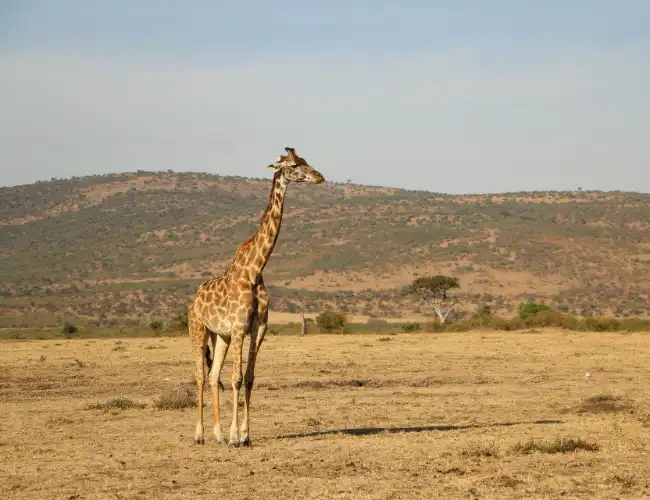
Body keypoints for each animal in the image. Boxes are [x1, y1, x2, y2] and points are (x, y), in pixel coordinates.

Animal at [187, 147, 325, 446]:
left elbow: (249, 377)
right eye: (294, 165)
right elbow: (237, 378)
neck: (255, 269)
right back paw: (199, 434)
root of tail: (192, 300)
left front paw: (245, 435)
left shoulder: (257, 327)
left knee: (213, 375)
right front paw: (235, 436)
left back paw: (216, 434)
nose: (320, 177)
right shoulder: (239, 327)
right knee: (200, 376)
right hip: (198, 330)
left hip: (220, 336)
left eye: (306, 160)